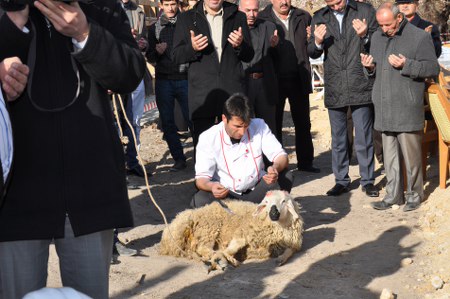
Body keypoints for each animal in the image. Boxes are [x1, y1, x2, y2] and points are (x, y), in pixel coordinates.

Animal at [159, 192, 306, 272]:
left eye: (283, 201)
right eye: (266, 202)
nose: (273, 212)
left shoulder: (293, 243)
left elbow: (290, 251)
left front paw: (281, 259)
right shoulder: (242, 233)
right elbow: (230, 249)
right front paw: (229, 258)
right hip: (209, 229)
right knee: (202, 248)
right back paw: (218, 258)